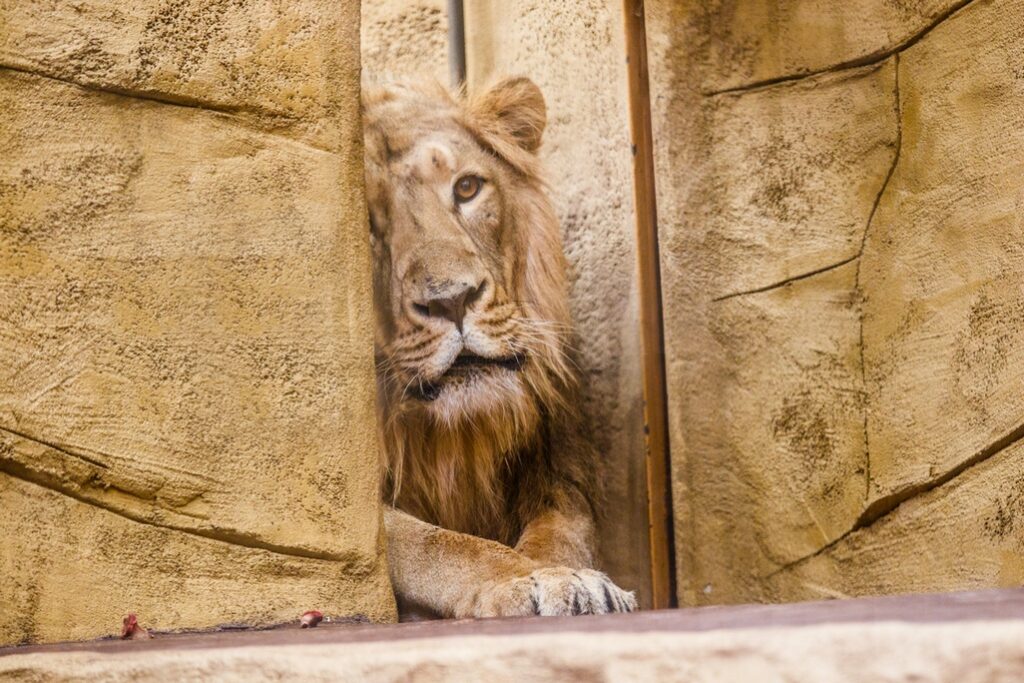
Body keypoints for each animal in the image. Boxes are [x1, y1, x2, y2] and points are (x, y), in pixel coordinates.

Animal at [360, 76, 630, 618]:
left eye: (466, 188)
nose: (452, 299)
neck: (451, 440)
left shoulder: (558, 470)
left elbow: (561, 534)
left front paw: (571, 579)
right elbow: (437, 544)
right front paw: (525, 580)